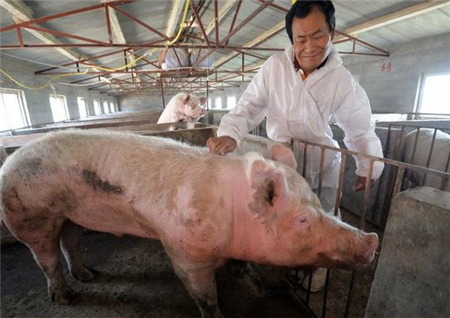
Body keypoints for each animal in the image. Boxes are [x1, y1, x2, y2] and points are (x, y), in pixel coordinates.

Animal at [0, 130, 378, 318]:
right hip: (29, 213)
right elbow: (204, 296)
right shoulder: (186, 252)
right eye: (302, 218)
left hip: (68, 213)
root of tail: (10, 160)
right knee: (46, 257)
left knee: (71, 241)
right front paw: (218, 315)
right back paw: (67, 298)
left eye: (317, 202)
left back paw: (89, 276)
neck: (232, 212)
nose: (372, 239)